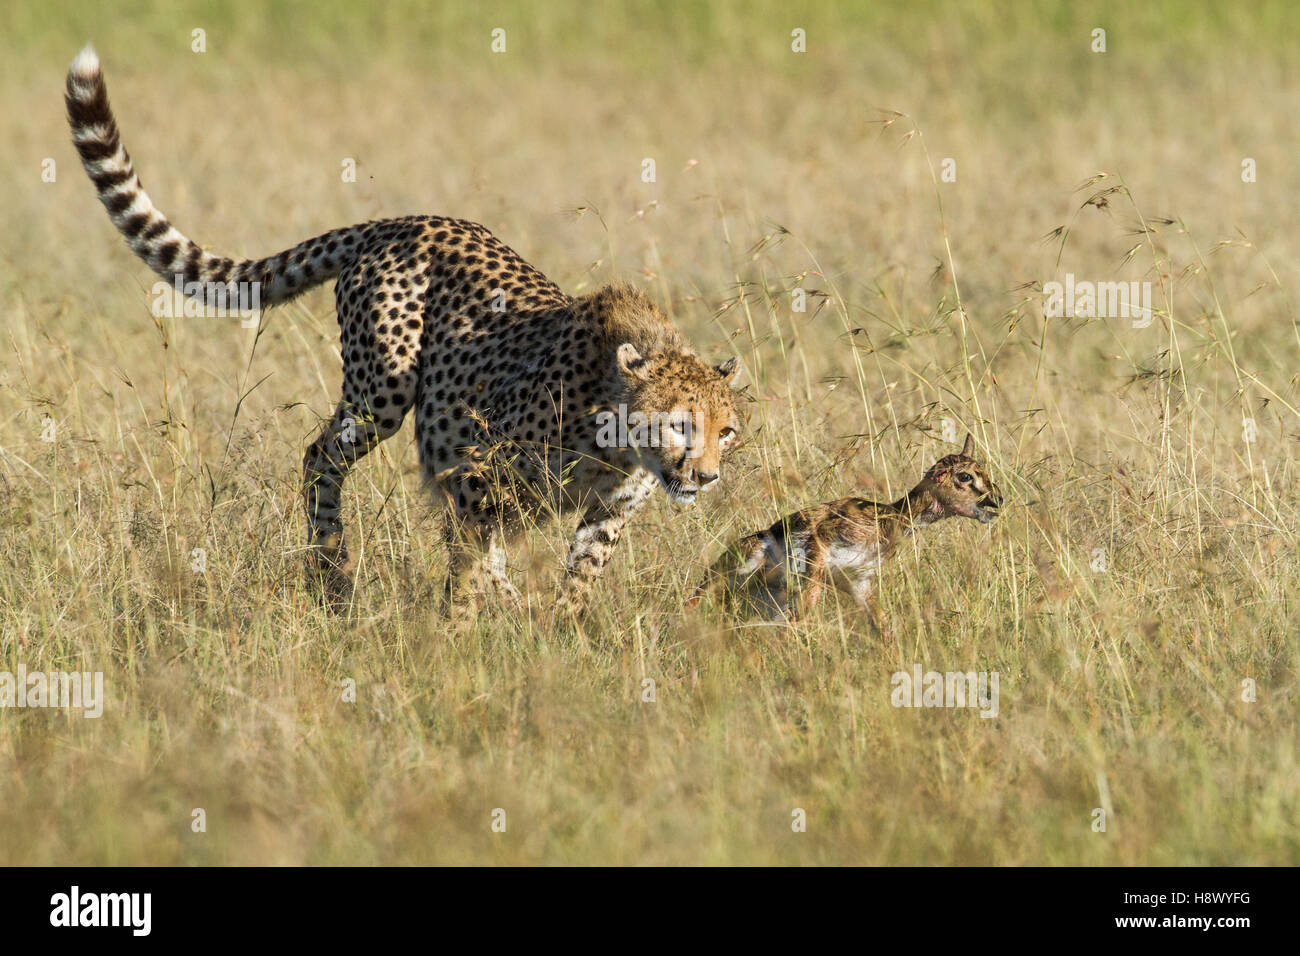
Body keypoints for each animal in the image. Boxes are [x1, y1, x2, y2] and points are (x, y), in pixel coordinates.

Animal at [65, 45, 744, 612]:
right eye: (681, 424)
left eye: (727, 431)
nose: (708, 477)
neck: (617, 438)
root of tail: (404, 220)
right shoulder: (475, 466)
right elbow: (470, 563)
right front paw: (461, 631)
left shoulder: (603, 515)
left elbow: (573, 579)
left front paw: (560, 632)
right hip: (383, 392)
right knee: (319, 456)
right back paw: (331, 572)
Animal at [686, 434, 1002, 633]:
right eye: (965, 476)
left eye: (983, 470)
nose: (997, 499)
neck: (890, 518)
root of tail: (769, 534)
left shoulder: (860, 583)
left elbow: (882, 627)